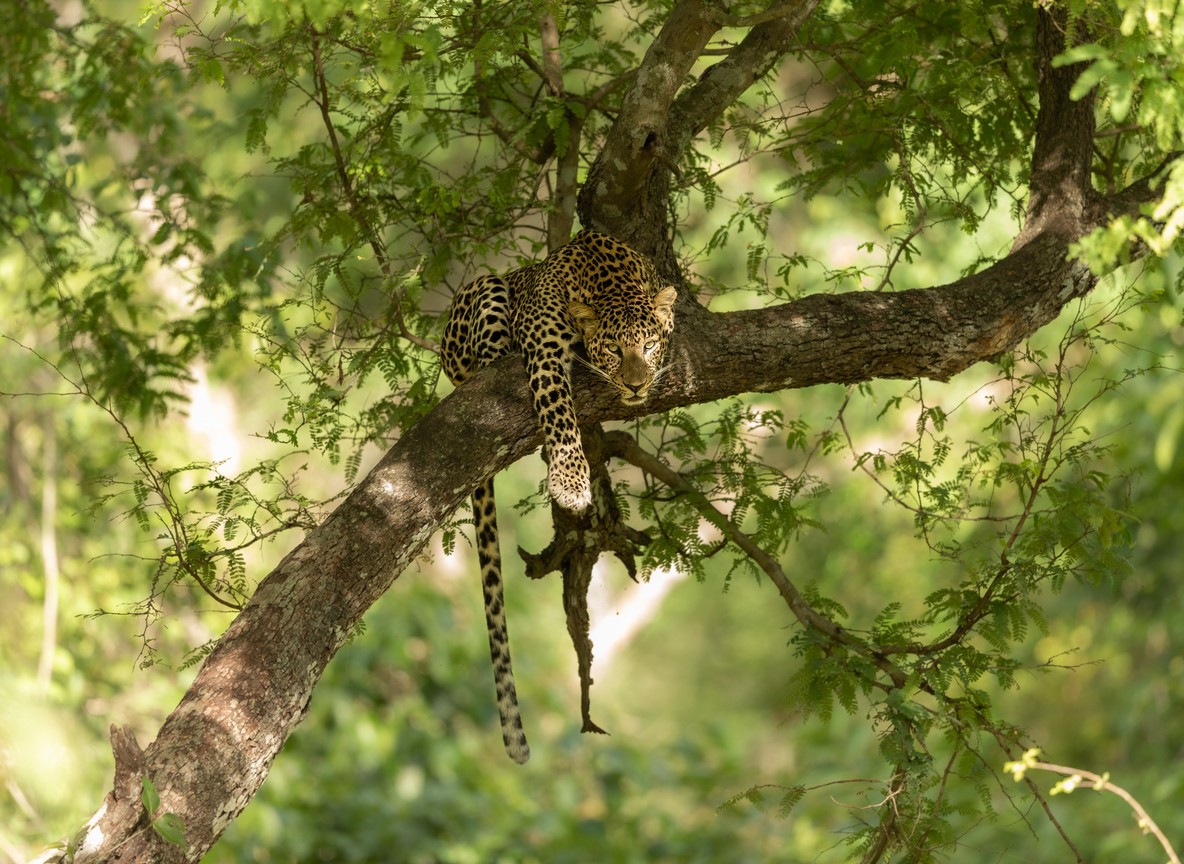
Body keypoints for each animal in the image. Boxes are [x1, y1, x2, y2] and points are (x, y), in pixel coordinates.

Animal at [442, 229, 677, 763]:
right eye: (614, 350)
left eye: (649, 344)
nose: (636, 384)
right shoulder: (545, 346)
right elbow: (558, 408)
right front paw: (570, 482)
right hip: (484, 295)